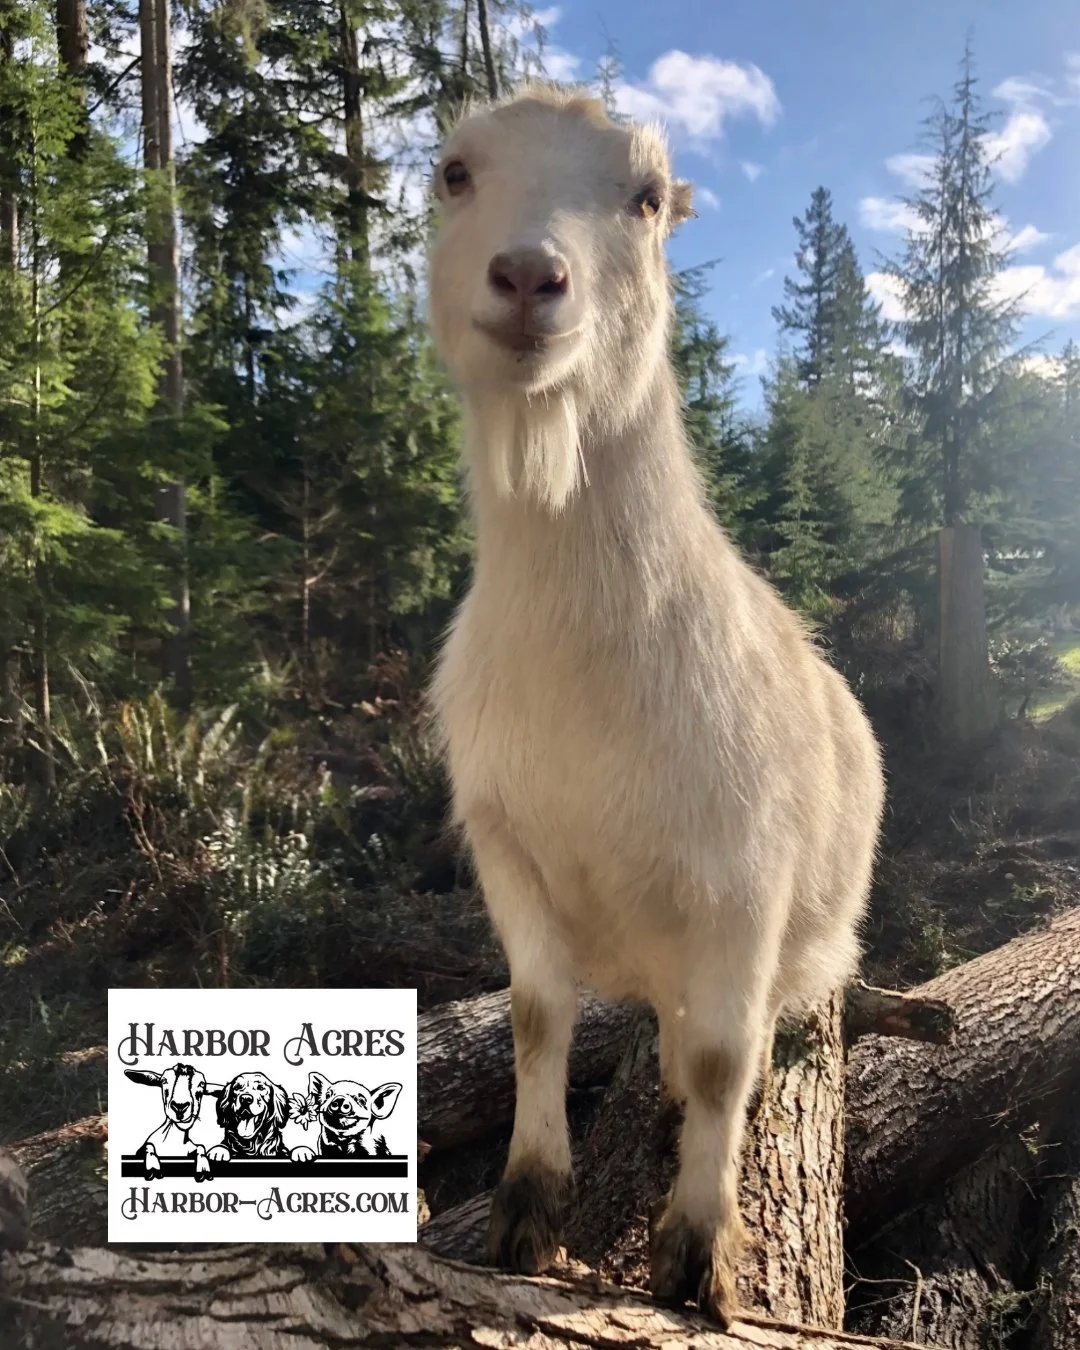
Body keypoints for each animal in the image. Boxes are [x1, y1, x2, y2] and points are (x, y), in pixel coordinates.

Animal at [426, 83, 885, 1328]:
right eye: (453, 173)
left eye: (644, 197)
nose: (529, 276)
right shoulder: (508, 848)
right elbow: (537, 1015)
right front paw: (527, 1214)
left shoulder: (744, 878)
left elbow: (727, 1061)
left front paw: (697, 1255)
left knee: (741, 1035)